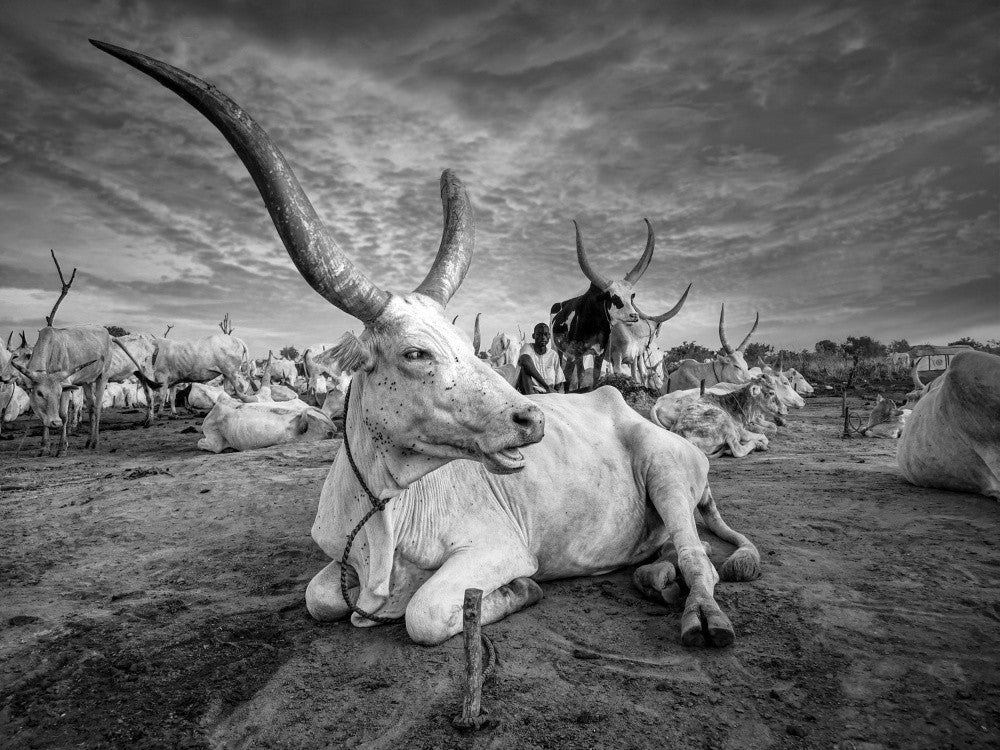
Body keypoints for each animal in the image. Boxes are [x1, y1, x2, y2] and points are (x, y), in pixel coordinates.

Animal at [550, 219, 656, 392]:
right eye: (613, 297)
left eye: (631, 296)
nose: (634, 316)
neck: (592, 323)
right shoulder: (573, 352)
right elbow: (570, 376)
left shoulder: (599, 352)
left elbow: (595, 375)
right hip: (556, 348)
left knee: (577, 373)